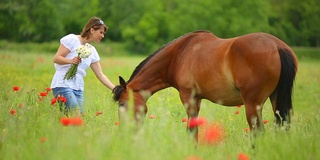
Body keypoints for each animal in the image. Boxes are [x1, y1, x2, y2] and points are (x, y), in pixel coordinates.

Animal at [112, 30, 298, 139]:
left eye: (122, 103)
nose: (125, 133)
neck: (179, 54)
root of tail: (277, 46)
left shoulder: (189, 97)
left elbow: (192, 130)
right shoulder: (198, 99)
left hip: (253, 104)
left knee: (258, 132)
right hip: (276, 100)